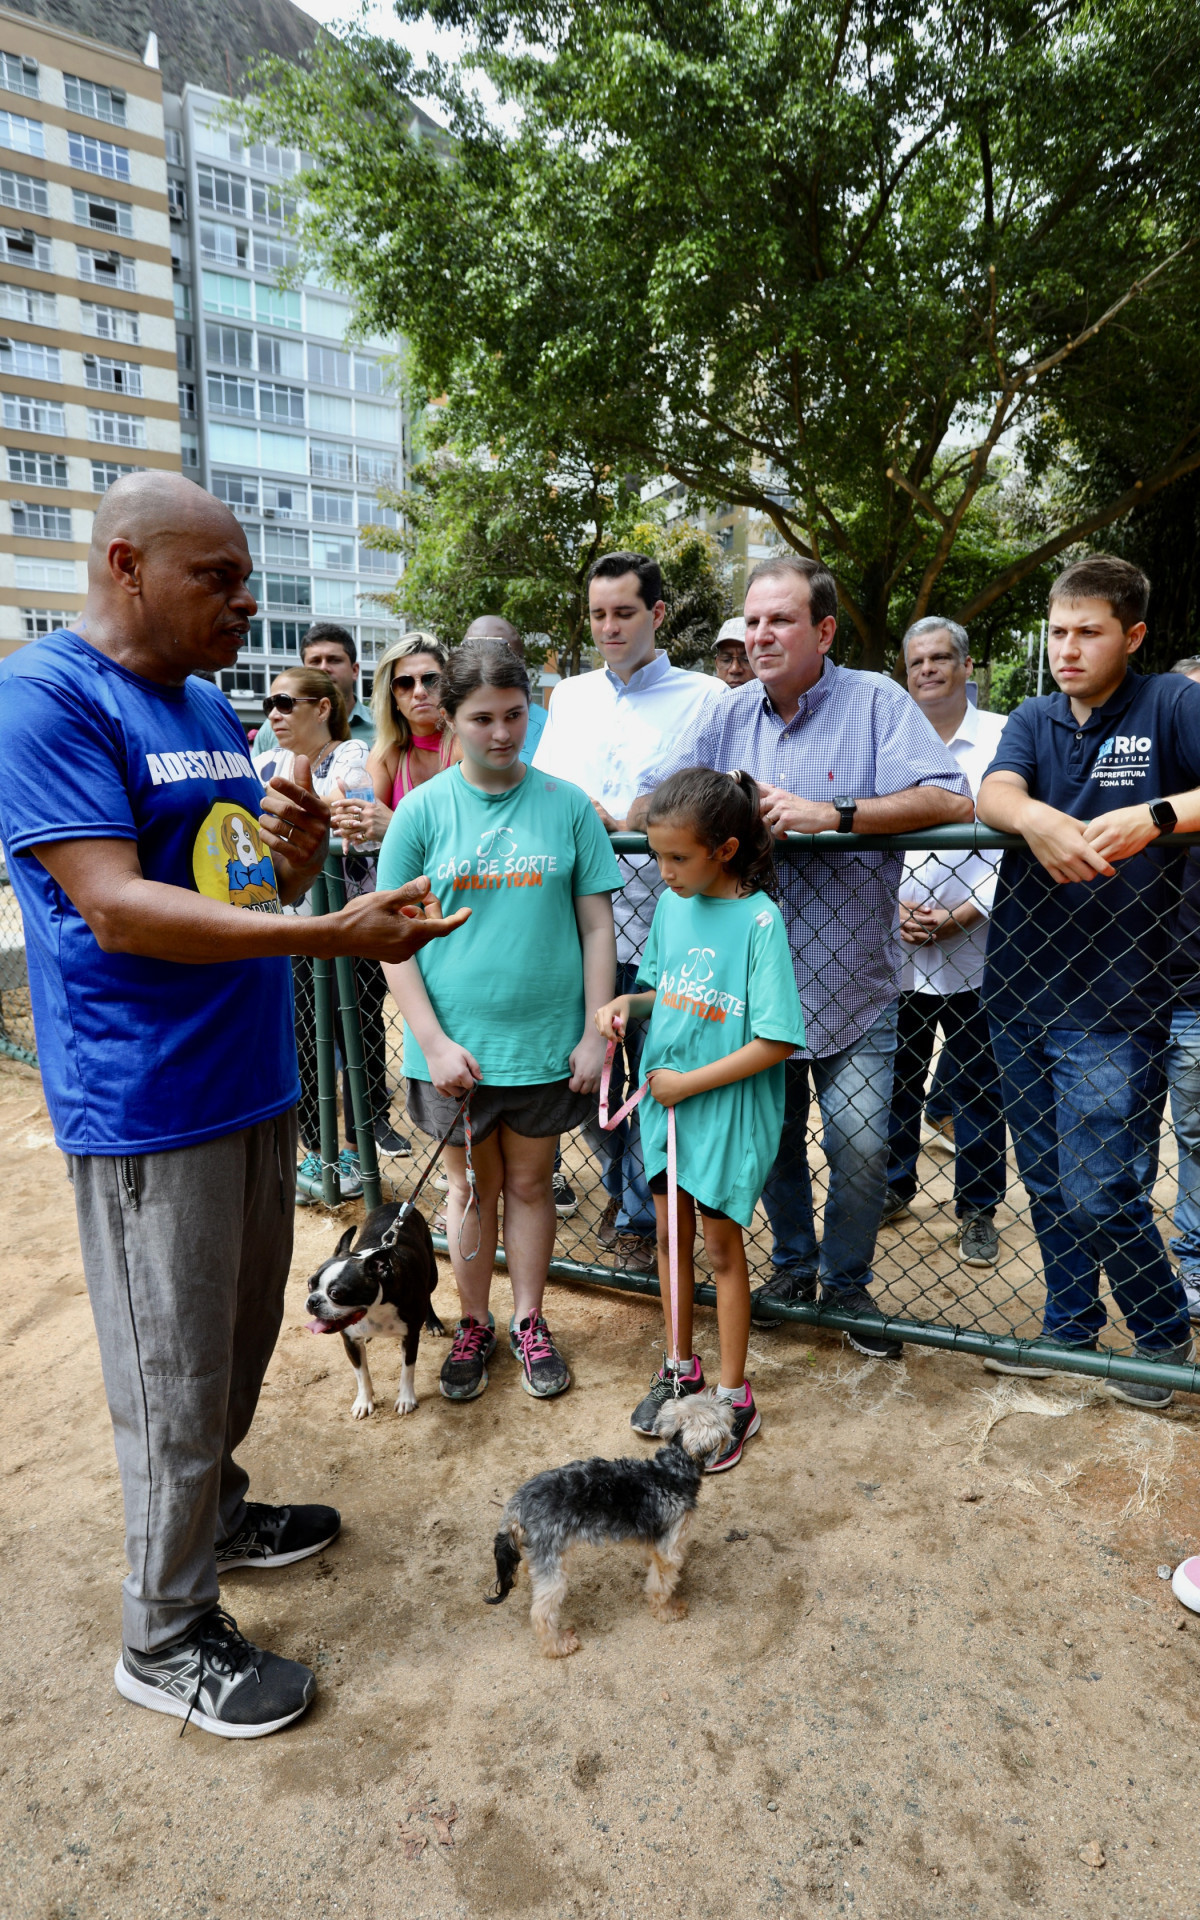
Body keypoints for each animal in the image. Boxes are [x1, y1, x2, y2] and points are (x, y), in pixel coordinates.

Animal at [303, 1205, 445, 1420]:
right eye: (310, 1285)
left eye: (336, 1293)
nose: (313, 1301)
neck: (374, 1310)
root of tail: (394, 1204)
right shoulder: (351, 1342)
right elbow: (362, 1374)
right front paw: (364, 1401)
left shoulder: (410, 1337)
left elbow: (407, 1369)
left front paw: (405, 1399)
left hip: (432, 1275)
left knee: (429, 1293)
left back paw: (433, 1322)